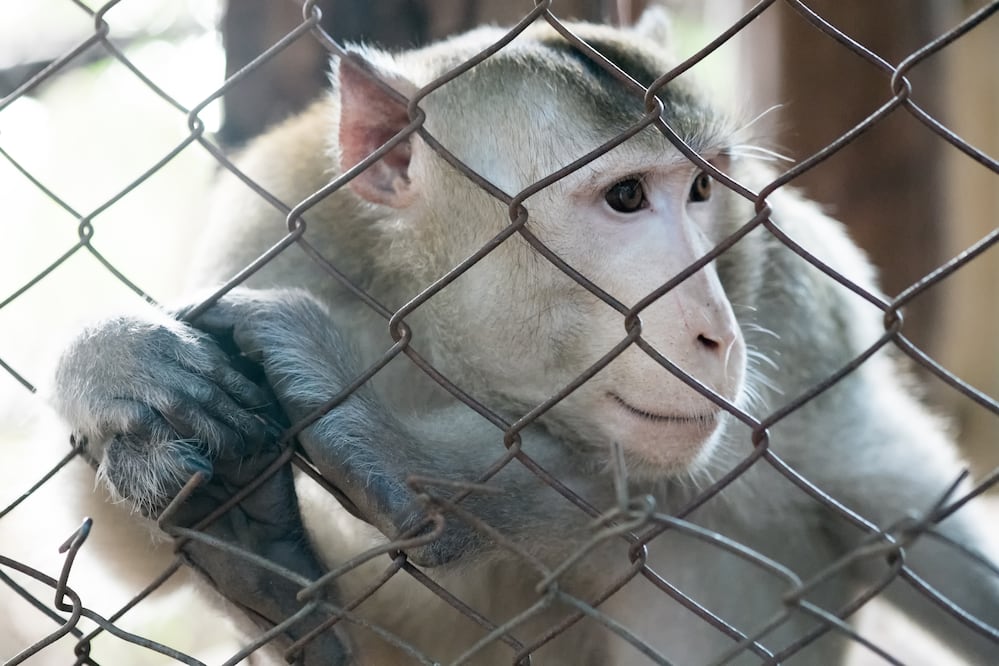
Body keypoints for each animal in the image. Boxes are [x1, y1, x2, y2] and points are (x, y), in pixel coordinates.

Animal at [49, 10, 999, 666]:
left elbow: (920, 534)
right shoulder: (273, 230)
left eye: (701, 189)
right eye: (626, 198)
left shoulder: (797, 312)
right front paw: (116, 362)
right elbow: (120, 546)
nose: (716, 335)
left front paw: (436, 475)